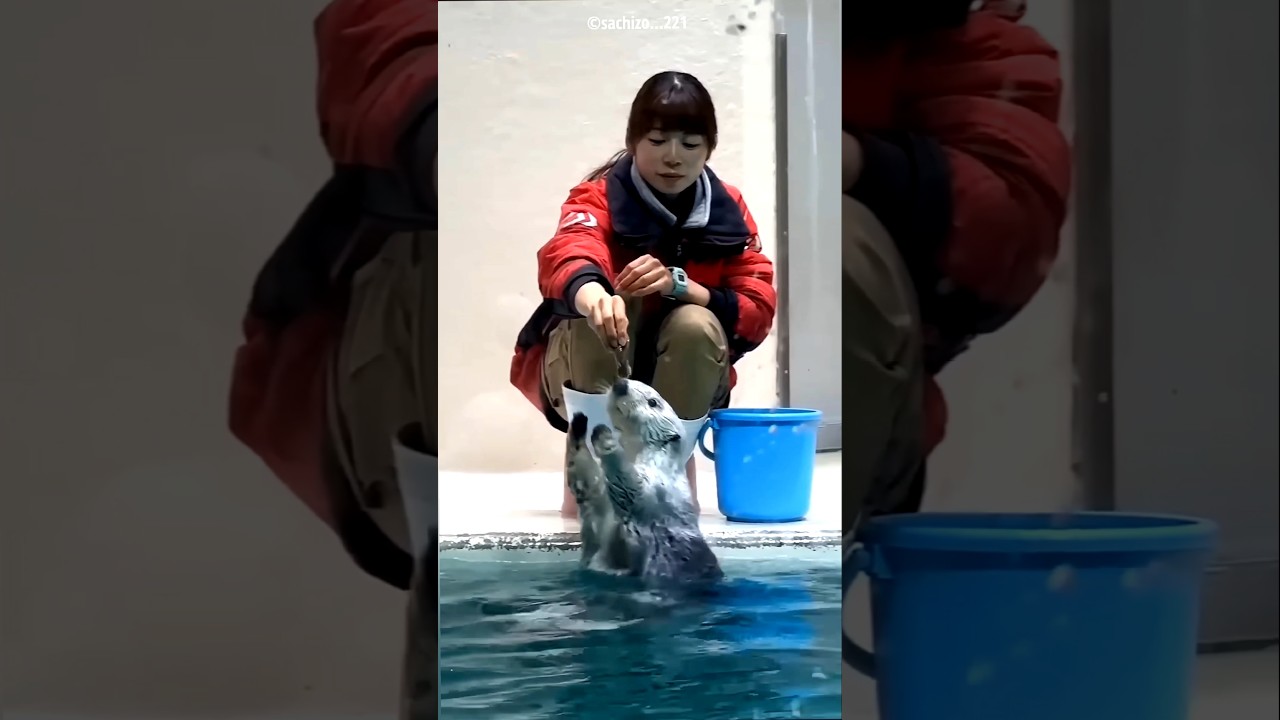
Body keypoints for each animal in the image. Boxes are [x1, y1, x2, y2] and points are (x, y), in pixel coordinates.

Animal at [565, 379, 723, 585]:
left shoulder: (654, 492)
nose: (621, 384)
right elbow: (587, 481)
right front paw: (578, 425)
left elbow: (630, 485)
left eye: (653, 402)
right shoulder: (599, 508)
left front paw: (606, 439)